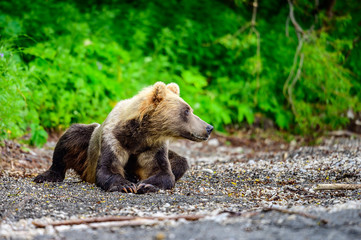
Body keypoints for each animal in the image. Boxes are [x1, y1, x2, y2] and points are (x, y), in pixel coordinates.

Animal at [33, 82, 212, 193]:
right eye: (187, 110)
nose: (209, 127)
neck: (138, 134)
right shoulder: (112, 139)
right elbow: (108, 168)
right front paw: (126, 185)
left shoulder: (153, 146)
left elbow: (164, 172)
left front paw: (146, 184)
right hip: (86, 151)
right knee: (71, 137)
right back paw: (47, 175)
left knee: (180, 161)